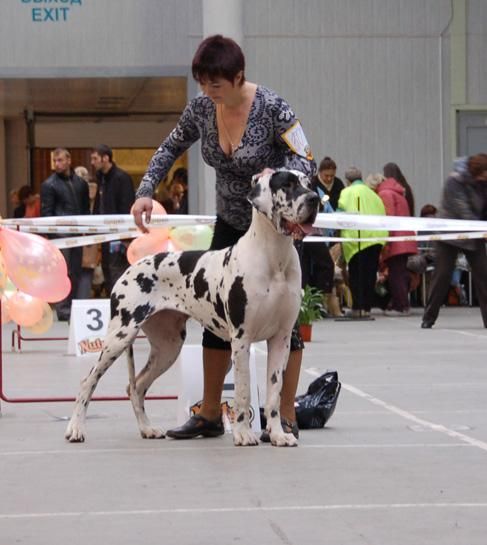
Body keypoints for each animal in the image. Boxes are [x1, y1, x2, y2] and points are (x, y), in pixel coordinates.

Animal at [65, 170, 320, 447]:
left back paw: (147, 428)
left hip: (168, 346)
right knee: (88, 381)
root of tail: (129, 268)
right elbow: (243, 391)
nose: (315, 199)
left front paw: (277, 434)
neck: (275, 257)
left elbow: (274, 392)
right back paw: (75, 428)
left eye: (308, 183)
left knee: (136, 386)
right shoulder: (241, 339)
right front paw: (243, 433)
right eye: (288, 185)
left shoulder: (281, 339)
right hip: (120, 336)